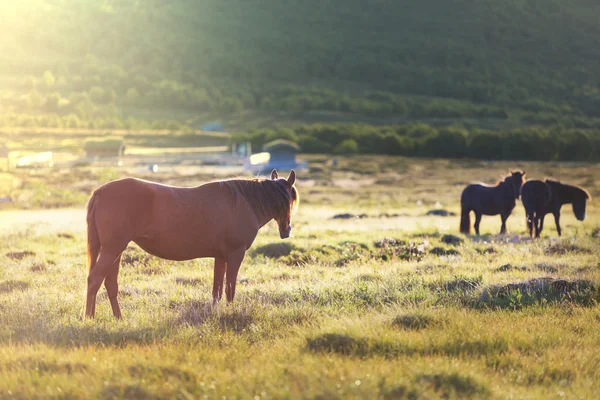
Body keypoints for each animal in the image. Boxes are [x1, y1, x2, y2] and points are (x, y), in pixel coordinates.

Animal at [84, 169, 300, 318]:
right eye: (290, 199)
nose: (286, 230)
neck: (244, 202)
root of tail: (100, 192)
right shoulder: (235, 254)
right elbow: (230, 289)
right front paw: (231, 312)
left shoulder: (220, 257)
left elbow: (216, 291)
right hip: (112, 249)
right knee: (95, 279)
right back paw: (89, 318)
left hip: (115, 251)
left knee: (110, 283)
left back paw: (117, 318)